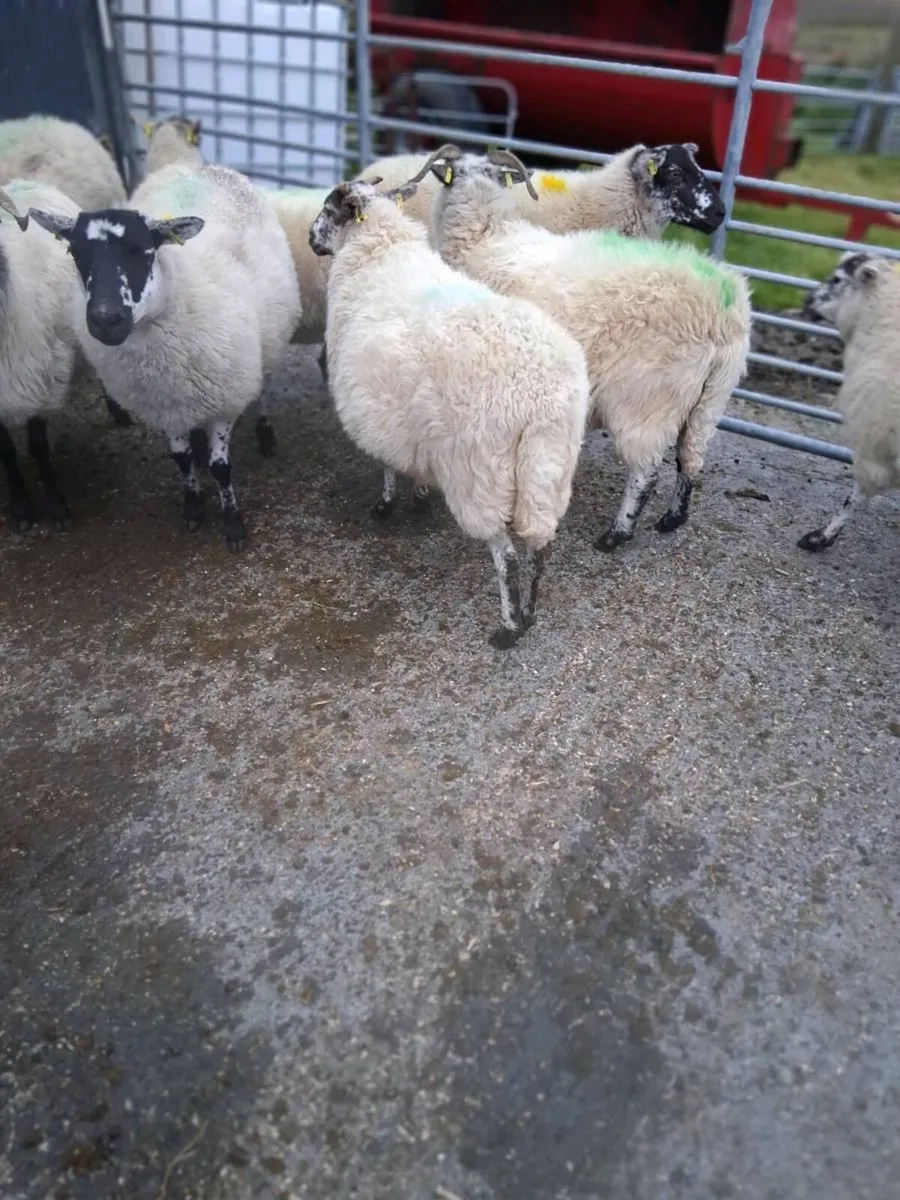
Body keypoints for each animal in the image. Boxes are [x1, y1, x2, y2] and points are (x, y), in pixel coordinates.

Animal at [29, 162, 302, 550]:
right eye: (75, 254)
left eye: (144, 251)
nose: (106, 320)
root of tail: (198, 164)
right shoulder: (164, 404)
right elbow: (182, 459)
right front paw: (193, 507)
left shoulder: (226, 396)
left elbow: (221, 469)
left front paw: (232, 524)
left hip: (267, 344)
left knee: (263, 387)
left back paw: (265, 434)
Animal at [308, 177, 590, 649]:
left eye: (328, 211)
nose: (311, 241)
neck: (377, 250)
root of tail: (538, 395)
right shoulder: (412, 423)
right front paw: (420, 492)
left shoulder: (376, 410)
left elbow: (386, 465)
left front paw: (386, 505)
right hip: (548, 466)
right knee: (539, 545)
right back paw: (530, 615)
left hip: (480, 474)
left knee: (507, 556)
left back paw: (508, 628)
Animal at [423, 145, 750, 550]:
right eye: (676, 174)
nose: (719, 213)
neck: (484, 234)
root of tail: (722, 309)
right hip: (710, 400)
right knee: (690, 460)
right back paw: (673, 518)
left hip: (648, 399)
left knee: (647, 471)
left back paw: (616, 534)